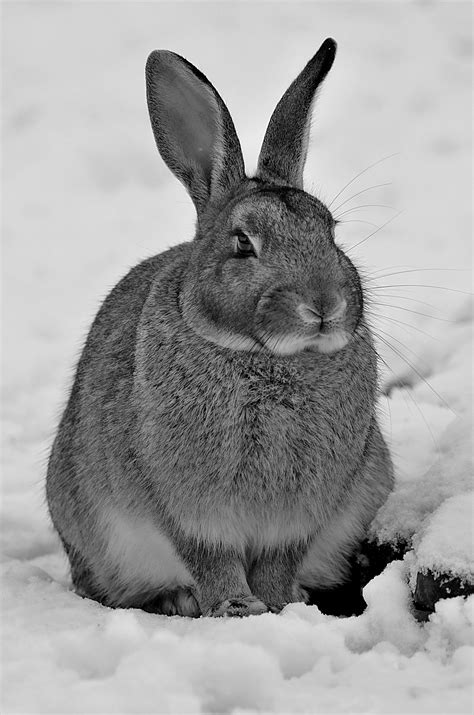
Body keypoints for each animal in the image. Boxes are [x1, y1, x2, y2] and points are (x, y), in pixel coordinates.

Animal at [46, 38, 394, 618]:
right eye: (243, 243)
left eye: (330, 231)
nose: (324, 303)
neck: (268, 357)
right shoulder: (187, 509)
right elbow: (211, 557)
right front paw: (236, 607)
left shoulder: (301, 515)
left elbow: (279, 560)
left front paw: (279, 605)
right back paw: (179, 599)